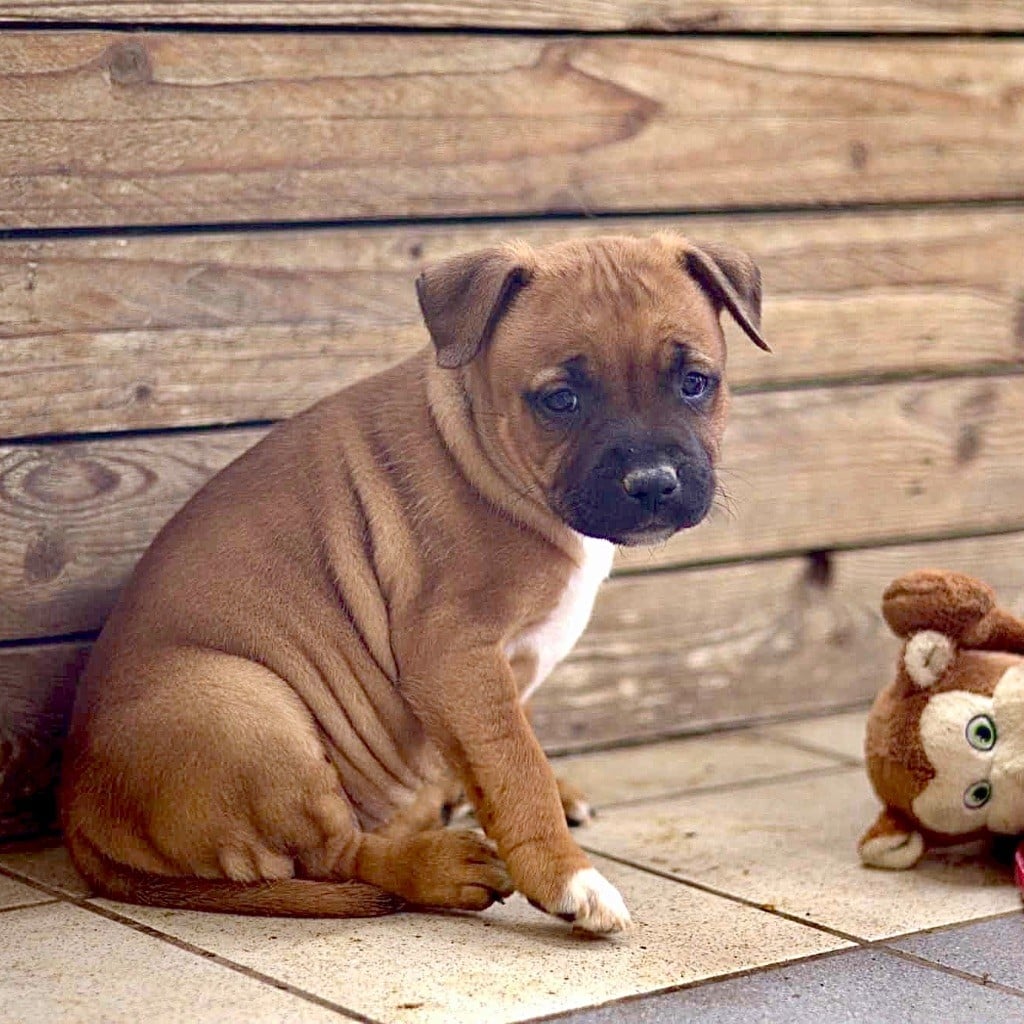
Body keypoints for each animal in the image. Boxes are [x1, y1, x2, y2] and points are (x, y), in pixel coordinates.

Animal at [61, 233, 769, 933]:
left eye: (695, 384)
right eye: (561, 400)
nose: (652, 483)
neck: (484, 451)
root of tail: (78, 817)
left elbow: (511, 745)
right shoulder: (456, 656)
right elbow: (516, 764)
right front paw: (566, 876)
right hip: (243, 706)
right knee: (338, 853)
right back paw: (440, 866)